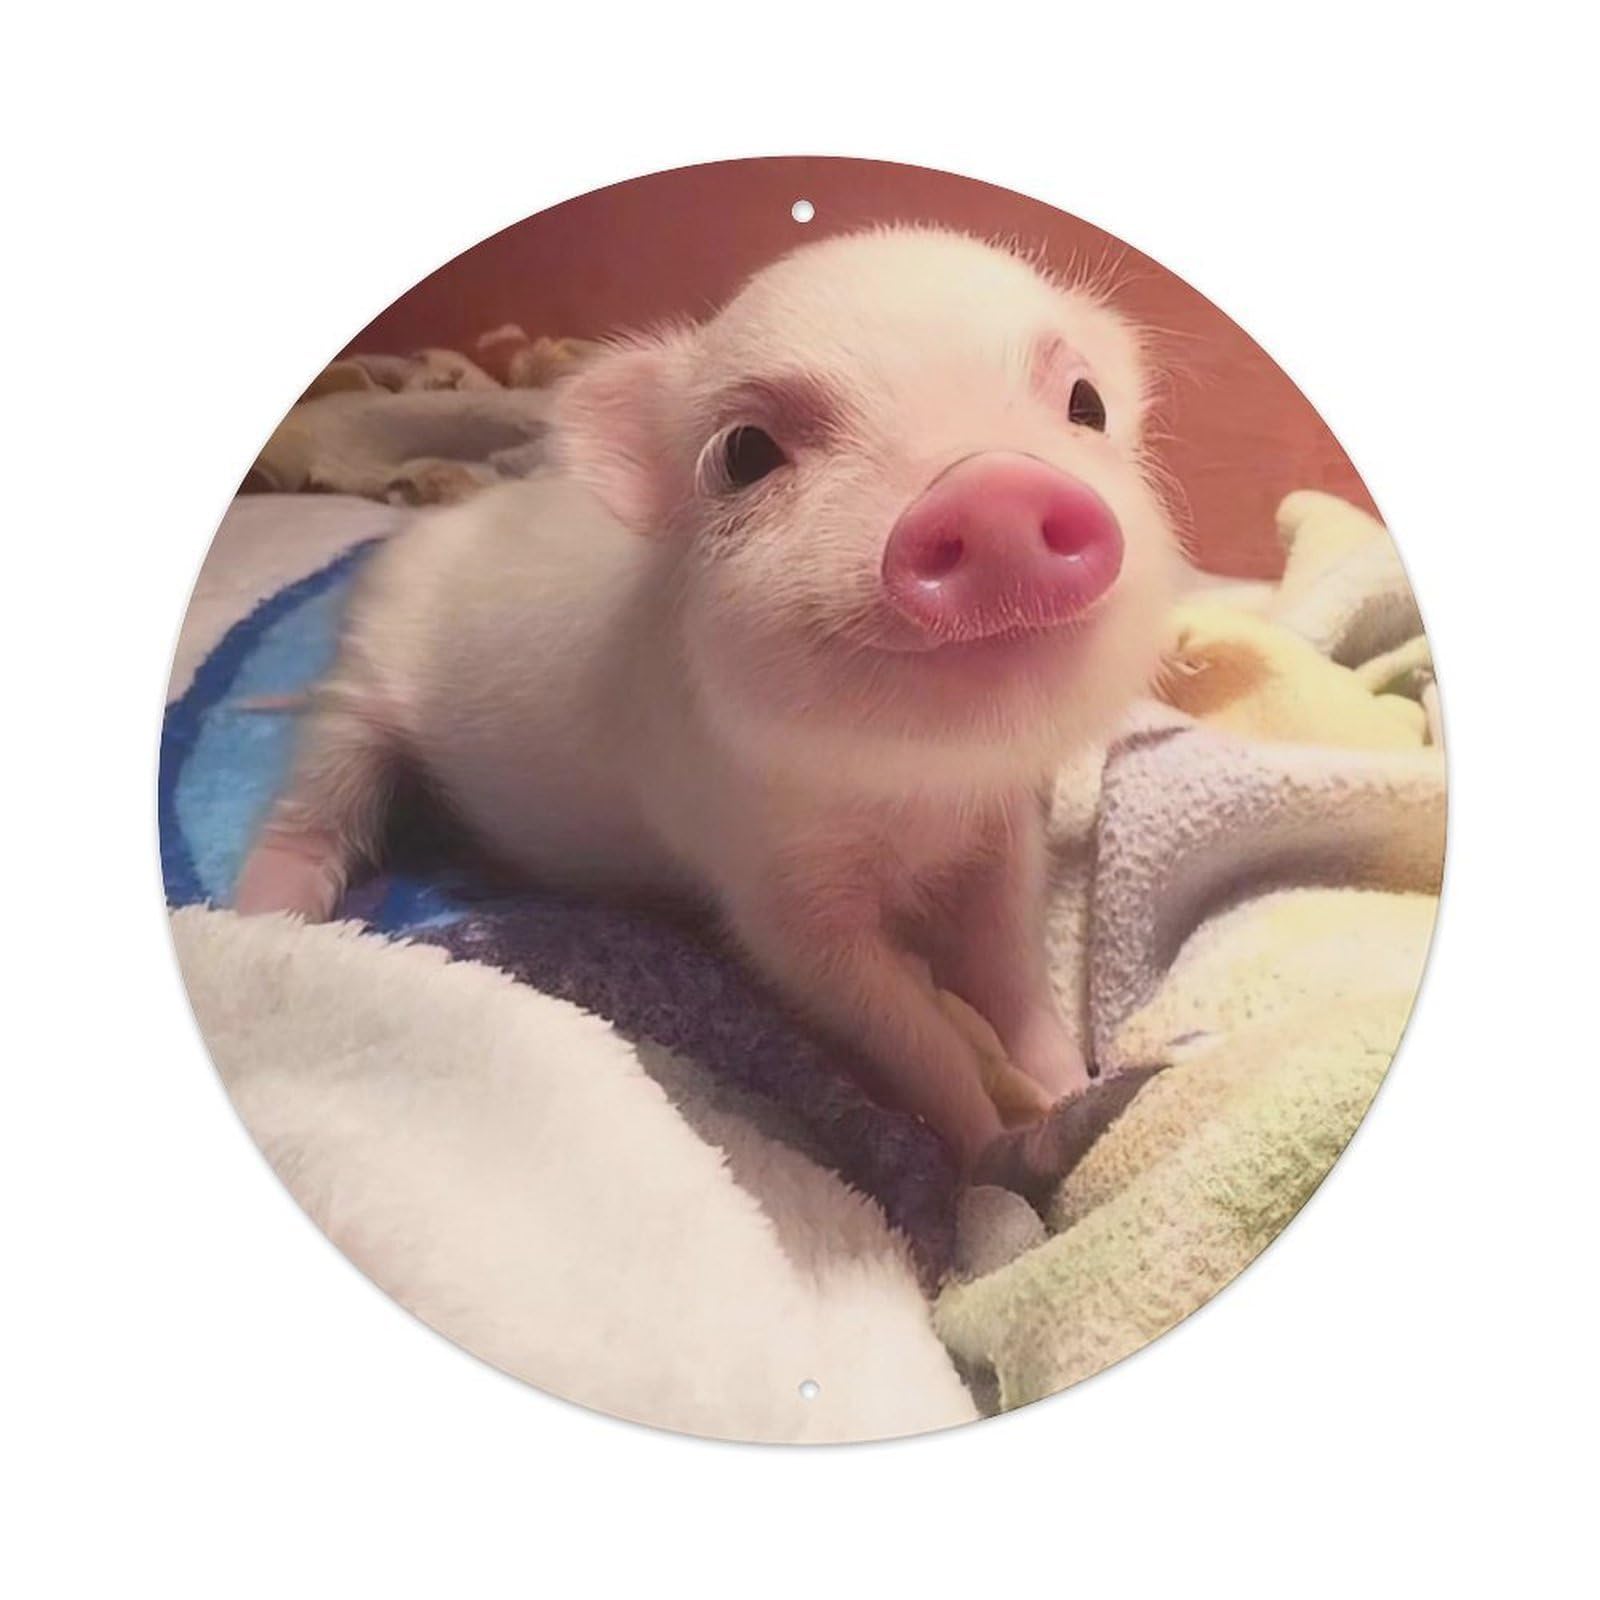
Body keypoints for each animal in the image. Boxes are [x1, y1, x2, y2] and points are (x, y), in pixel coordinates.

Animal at [234, 226, 1183, 1175]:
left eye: (1086, 403)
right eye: (745, 454)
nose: (995, 489)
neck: (916, 797)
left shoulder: (1000, 829)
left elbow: (1011, 965)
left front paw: (1065, 1094)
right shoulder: (767, 889)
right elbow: (899, 1023)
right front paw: (991, 1154)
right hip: (361, 685)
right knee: (312, 801)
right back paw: (264, 915)